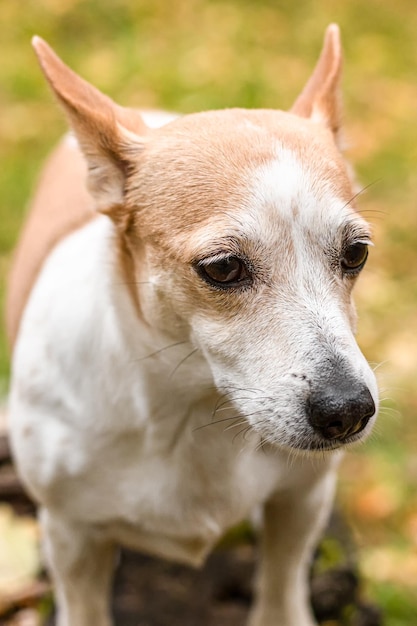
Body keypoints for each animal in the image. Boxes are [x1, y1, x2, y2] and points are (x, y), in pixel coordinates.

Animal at [6, 24, 376, 624]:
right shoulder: (71, 536)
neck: (193, 412)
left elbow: (281, 593)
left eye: (357, 253)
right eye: (222, 268)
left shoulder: (301, 500)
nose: (348, 411)